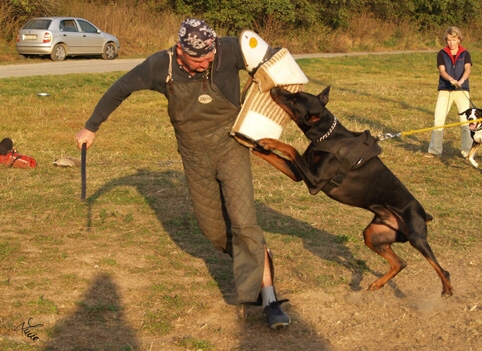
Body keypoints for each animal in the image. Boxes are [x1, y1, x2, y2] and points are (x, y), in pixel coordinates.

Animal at [254, 85, 454, 296]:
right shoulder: (298, 173)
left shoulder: (315, 181)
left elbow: (291, 148)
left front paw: (271, 141)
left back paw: (447, 288)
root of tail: (425, 215)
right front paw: (252, 145)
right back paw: (377, 284)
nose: (275, 89)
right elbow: (272, 155)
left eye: (294, 100)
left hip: (416, 236)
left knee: (441, 269)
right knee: (400, 262)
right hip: (373, 234)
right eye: (295, 95)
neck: (328, 135)